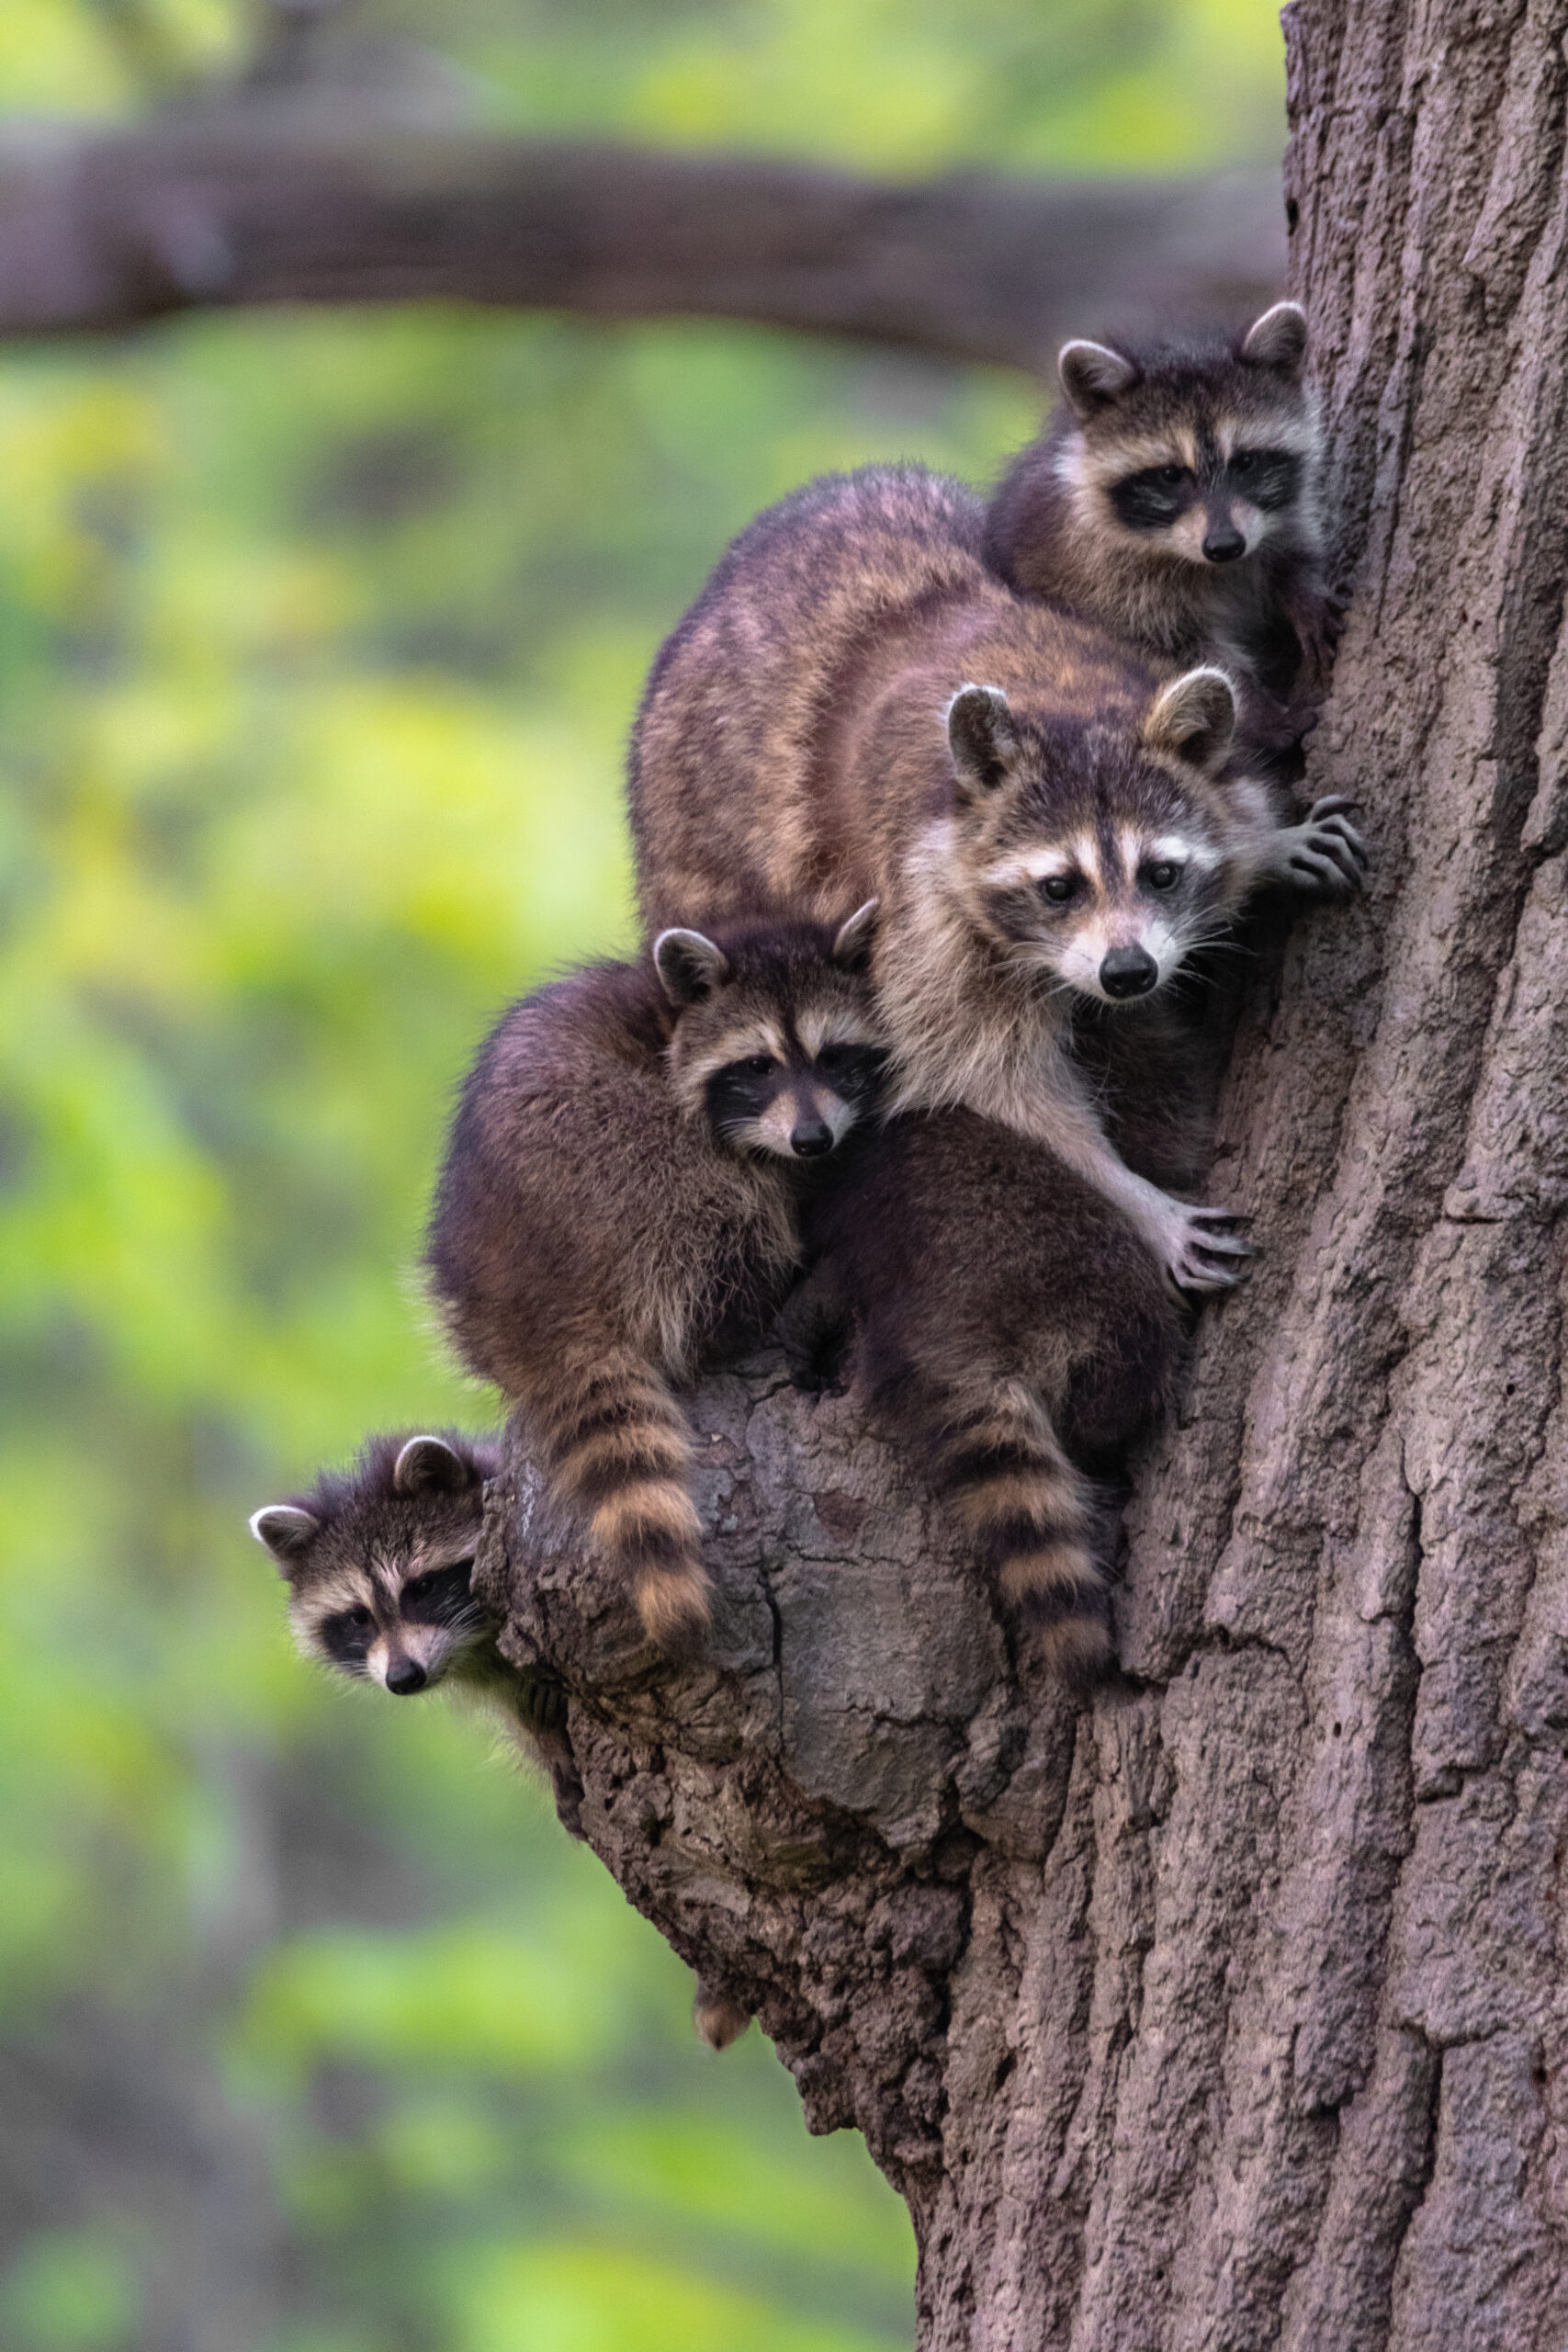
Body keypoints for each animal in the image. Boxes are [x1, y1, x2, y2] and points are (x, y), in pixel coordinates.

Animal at [425, 908, 884, 1665]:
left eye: (834, 1056)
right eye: (757, 1066)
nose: (813, 1140)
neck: (667, 1021)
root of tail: (533, 1296)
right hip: (618, 1171)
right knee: (718, 1196)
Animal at [629, 463, 1363, 1288]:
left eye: (1162, 874)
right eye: (1058, 887)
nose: (1128, 974)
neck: (1066, 705)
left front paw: (1267, 841)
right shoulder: (922, 912)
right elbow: (986, 1075)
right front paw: (1129, 1193)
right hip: (692, 850)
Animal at [982, 305, 1335, 706]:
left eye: (1245, 462)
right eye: (1170, 475)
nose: (1225, 546)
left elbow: (1292, 551)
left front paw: (1302, 588)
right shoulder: (1102, 579)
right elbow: (1185, 648)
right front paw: (1254, 697)